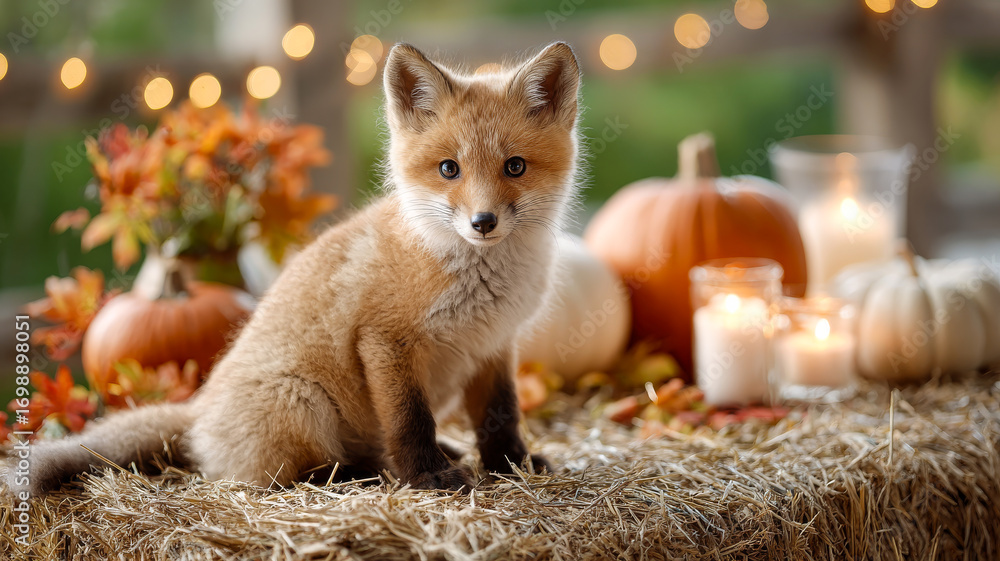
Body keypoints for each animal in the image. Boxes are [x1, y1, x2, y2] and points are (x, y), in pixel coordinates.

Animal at [5, 41, 582, 495]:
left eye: (515, 167)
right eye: (449, 169)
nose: (483, 222)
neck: (474, 277)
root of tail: (199, 410)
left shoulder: (494, 344)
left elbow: (500, 417)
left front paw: (513, 466)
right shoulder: (385, 340)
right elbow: (408, 422)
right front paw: (428, 478)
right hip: (303, 404)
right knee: (294, 475)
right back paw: (362, 476)